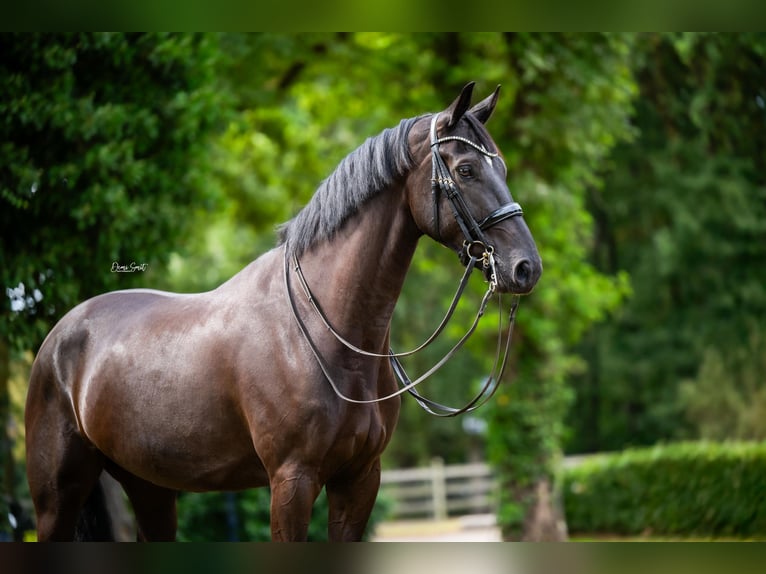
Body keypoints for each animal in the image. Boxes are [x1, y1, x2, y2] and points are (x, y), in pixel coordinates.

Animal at [25, 82, 542, 541]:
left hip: (150, 486)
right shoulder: (292, 480)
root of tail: (59, 336)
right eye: (467, 169)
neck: (324, 335)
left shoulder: (359, 479)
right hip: (57, 497)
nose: (525, 267)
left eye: (503, 167)